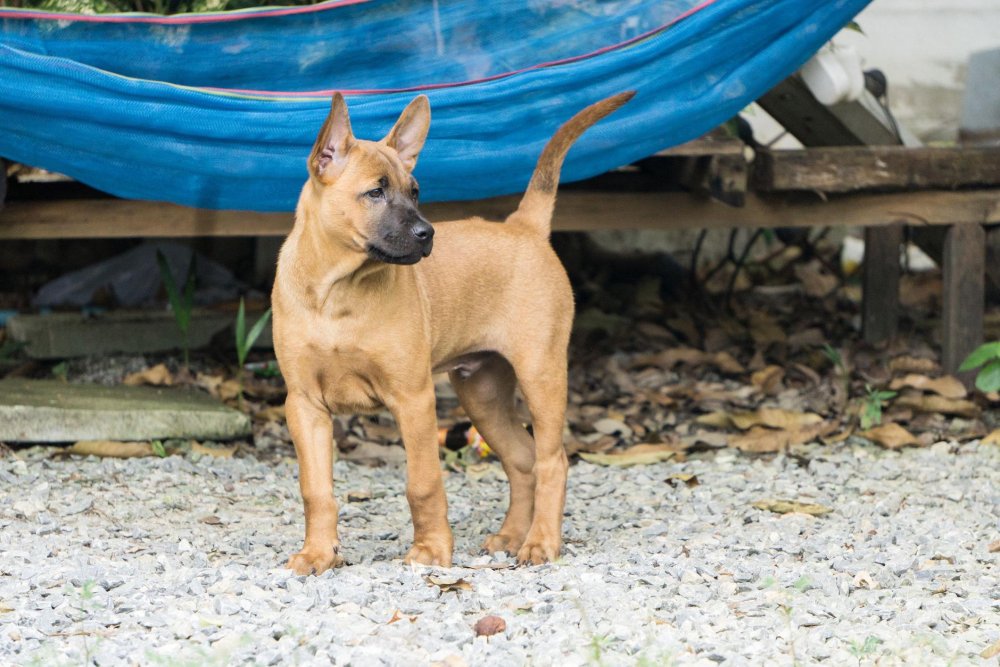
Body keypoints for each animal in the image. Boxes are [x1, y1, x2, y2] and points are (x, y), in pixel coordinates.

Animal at [274, 91, 632, 576]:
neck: (338, 293)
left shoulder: (413, 399)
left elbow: (423, 483)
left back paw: (540, 542)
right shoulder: (304, 405)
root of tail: (523, 226)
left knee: (552, 460)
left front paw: (431, 550)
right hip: (482, 393)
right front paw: (318, 553)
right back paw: (510, 536)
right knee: (523, 460)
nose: (428, 234)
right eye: (375, 192)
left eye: (415, 192)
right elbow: (316, 490)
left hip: (541, 375)